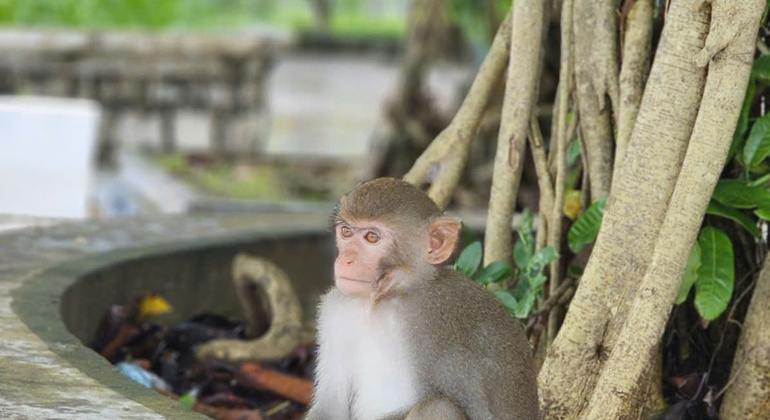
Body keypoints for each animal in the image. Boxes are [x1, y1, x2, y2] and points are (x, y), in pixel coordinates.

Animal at [305, 178, 539, 420]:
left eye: (372, 237)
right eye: (346, 232)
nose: (346, 259)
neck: (385, 300)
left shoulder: (438, 325)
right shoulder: (336, 309)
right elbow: (330, 406)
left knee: (437, 407)